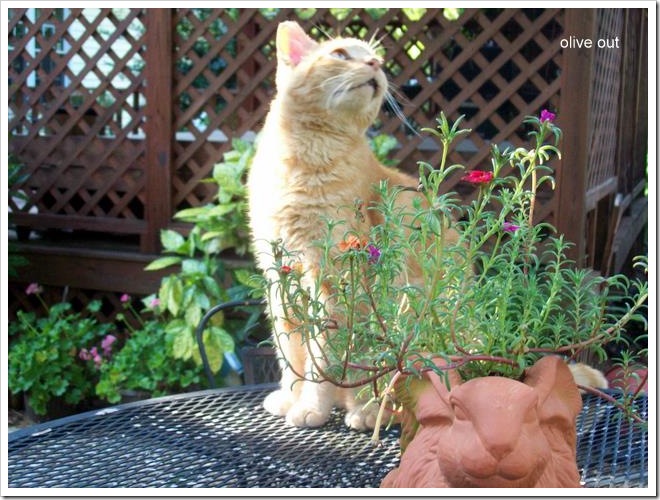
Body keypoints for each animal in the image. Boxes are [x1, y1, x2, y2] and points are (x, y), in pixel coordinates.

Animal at [245, 21, 426, 430]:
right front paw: (290, 396)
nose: (375, 65)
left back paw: (368, 411)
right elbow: (290, 352)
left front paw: (310, 406)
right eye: (341, 54)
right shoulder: (279, 278)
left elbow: (322, 360)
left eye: (377, 60)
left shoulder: (329, 279)